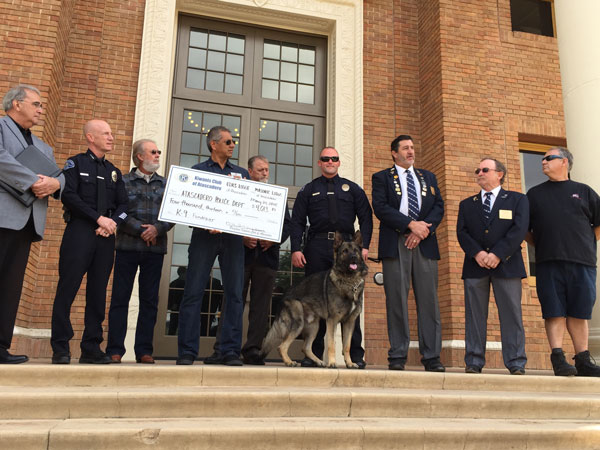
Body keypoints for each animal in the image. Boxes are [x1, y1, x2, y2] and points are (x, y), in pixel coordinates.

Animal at [260, 232, 368, 370]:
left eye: (355, 251)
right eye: (345, 251)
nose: (353, 257)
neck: (349, 281)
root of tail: (284, 295)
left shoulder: (349, 323)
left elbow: (347, 346)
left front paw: (349, 363)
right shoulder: (332, 321)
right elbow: (331, 344)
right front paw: (332, 363)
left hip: (314, 327)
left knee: (305, 348)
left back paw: (319, 361)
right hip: (298, 323)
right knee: (281, 346)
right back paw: (289, 362)